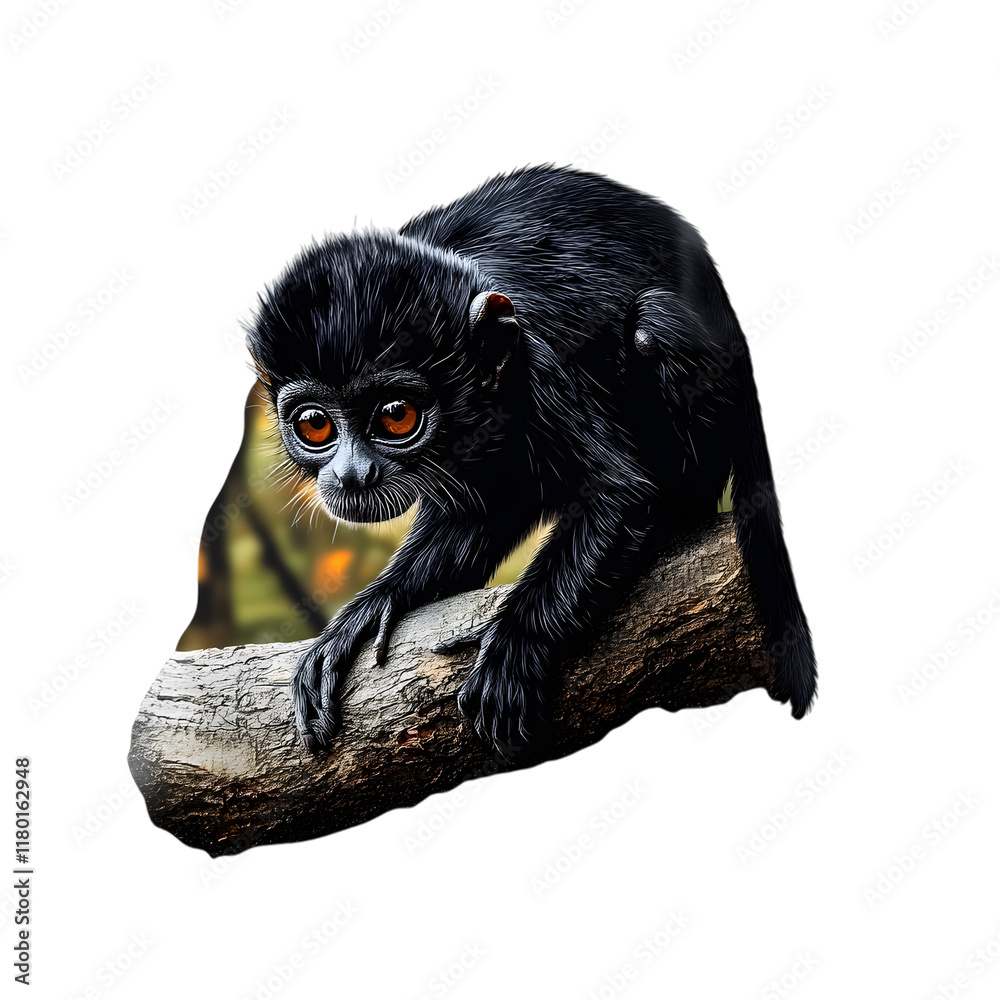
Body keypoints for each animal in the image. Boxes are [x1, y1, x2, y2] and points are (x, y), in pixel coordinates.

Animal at [245, 164, 816, 760]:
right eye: (316, 425)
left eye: (397, 416)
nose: (351, 473)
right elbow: (475, 517)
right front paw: (368, 611)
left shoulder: (535, 356)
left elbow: (622, 495)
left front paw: (512, 648)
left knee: (653, 324)